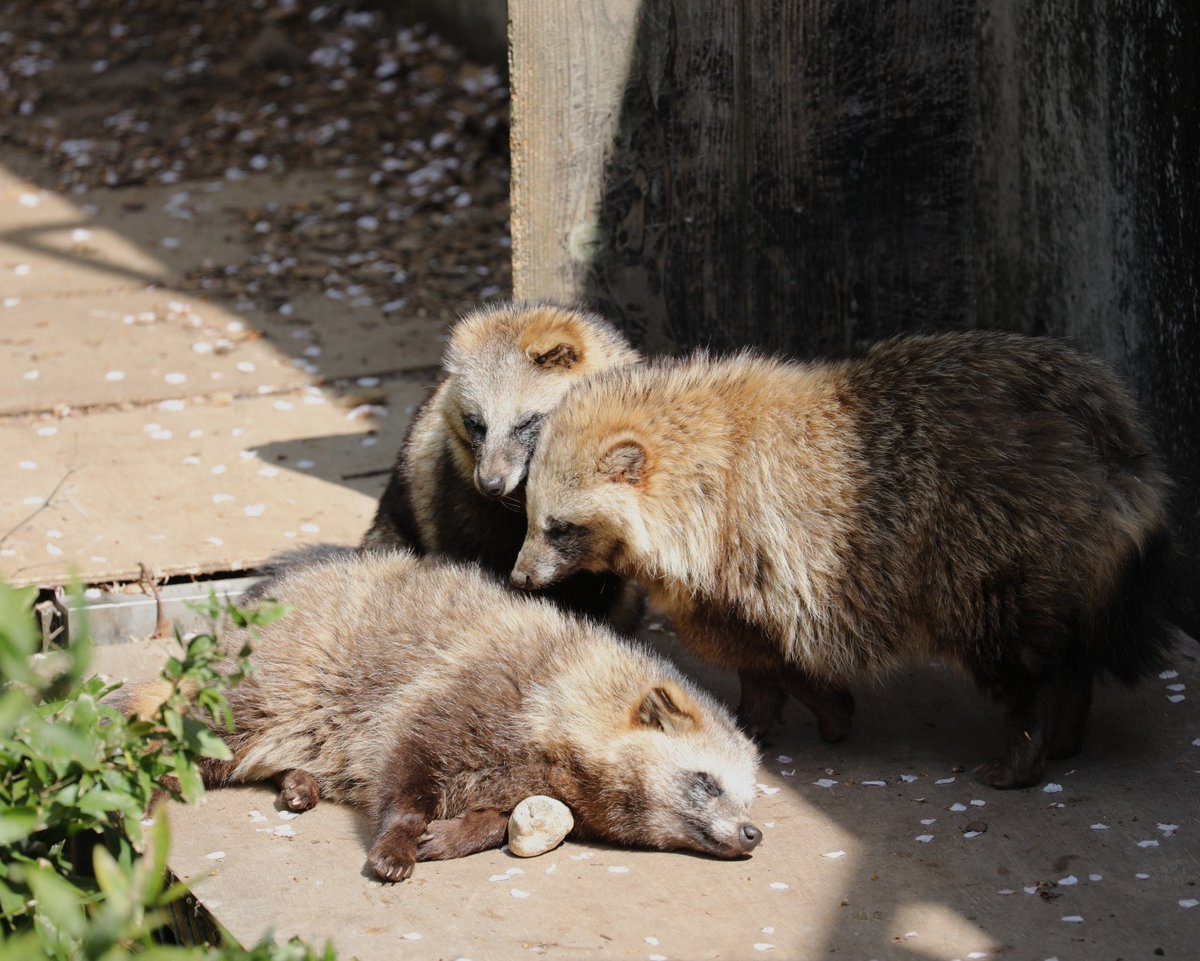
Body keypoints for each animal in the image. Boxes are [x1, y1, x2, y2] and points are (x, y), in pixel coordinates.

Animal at [124, 551, 758, 883]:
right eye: (707, 782)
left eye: (748, 798)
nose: (755, 832)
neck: (570, 685)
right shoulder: (465, 692)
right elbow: (408, 763)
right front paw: (401, 835)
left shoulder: (534, 777)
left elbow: (504, 818)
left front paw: (460, 833)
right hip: (273, 687)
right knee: (190, 730)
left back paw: (299, 780)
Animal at [511, 333, 1176, 791]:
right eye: (529, 515)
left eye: (560, 527)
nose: (520, 576)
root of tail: (1112, 437)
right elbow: (756, 650)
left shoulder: (752, 546)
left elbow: (760, 649)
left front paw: (794, 709)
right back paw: (1068, 721)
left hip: (991, 535)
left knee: (1008, 643)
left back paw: (1026, 742)